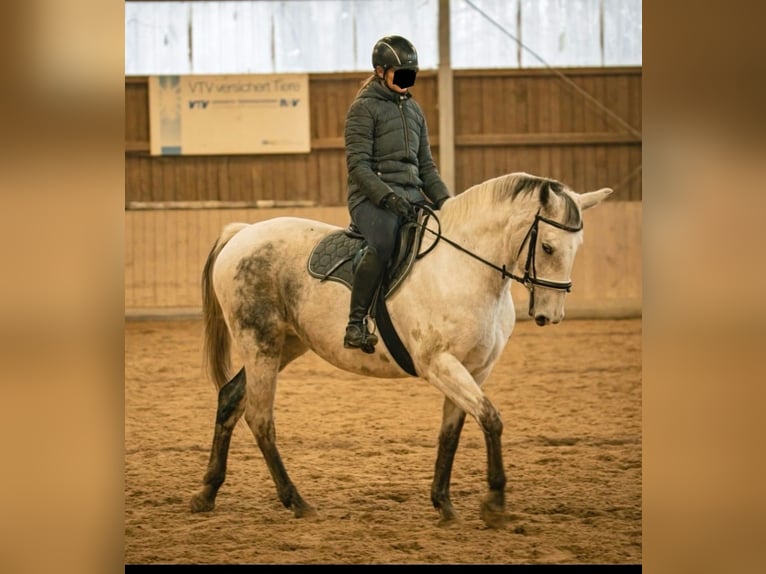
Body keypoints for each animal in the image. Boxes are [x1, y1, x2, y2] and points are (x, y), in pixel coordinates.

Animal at [189, 172, 616, 532]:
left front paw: (444, 505)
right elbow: (491, 419)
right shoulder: (439, 364)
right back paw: (296, 501)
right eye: (547, 246)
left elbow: (452, 433)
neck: (465, 269)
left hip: (286, 344)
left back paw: (207, 493)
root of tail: (243, 233)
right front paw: (494, 503)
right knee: (260, 419)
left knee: (231, 399)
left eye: (577, 247)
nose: (550, 314)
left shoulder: (474, 369)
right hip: (259, 343)